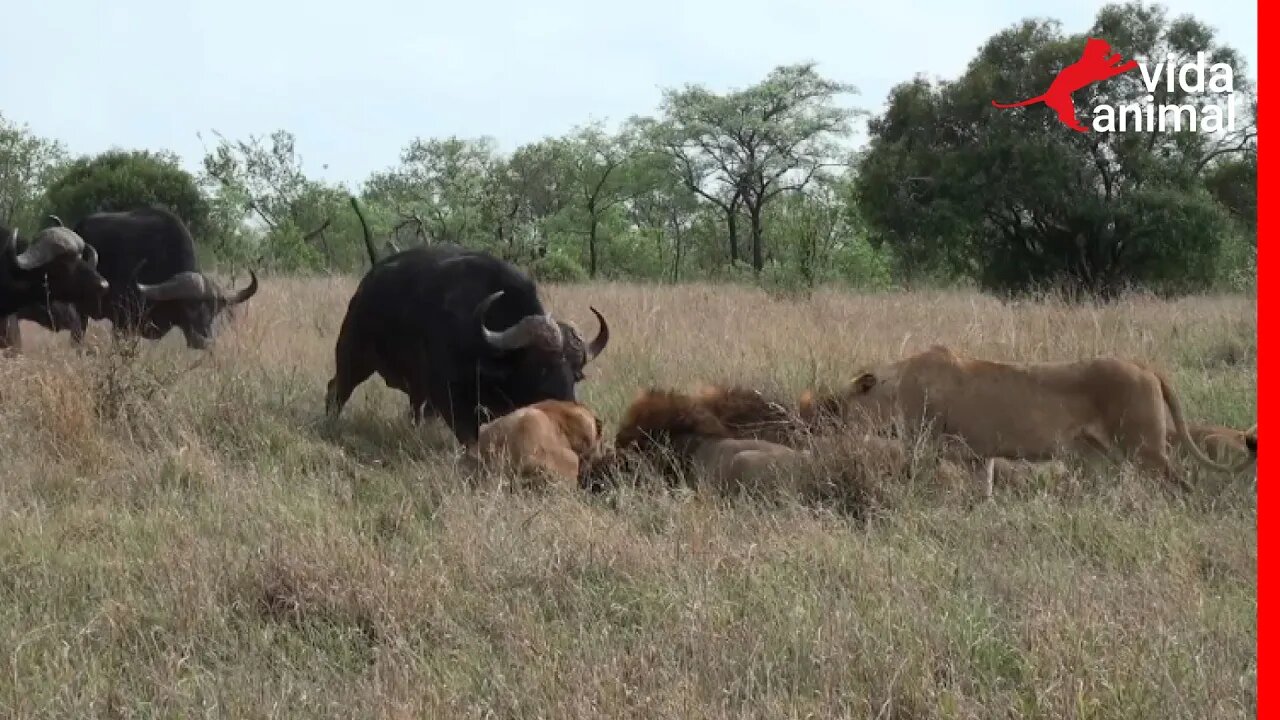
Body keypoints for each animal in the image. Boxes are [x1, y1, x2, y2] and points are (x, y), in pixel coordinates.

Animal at [327, 242, 611, 443]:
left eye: (576, 374)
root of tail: (366, 286)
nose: (576, 414)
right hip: (353, 355)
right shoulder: (448, 398)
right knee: (337, 389)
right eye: (541, 367)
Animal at [824, 343, 1254, 491]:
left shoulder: (926, 444)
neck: (897, 384)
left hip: (1143, 447)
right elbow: (984, 492)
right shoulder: (981, 456)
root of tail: (1144, 365)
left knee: (1180, 483)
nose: (832, 421)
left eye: (838, 405)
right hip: (1101, 454)